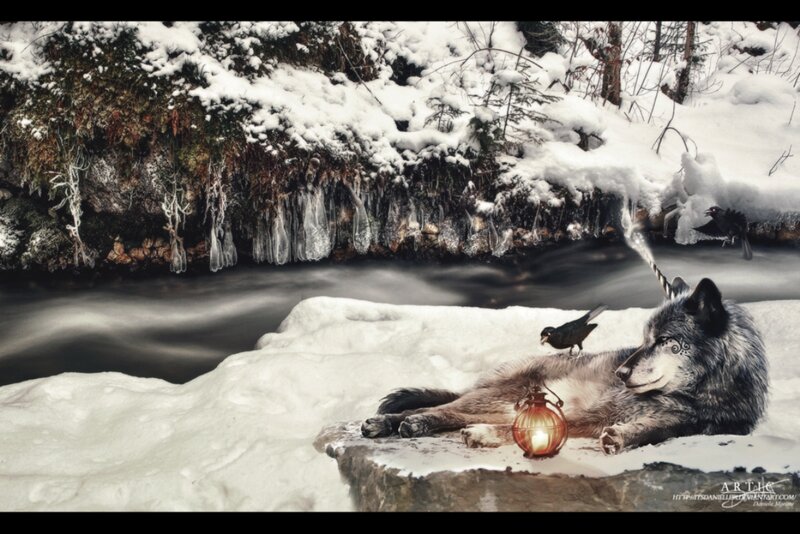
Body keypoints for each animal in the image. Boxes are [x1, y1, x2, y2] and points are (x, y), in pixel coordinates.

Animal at [362, 278, 768, 454]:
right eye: (643, 339)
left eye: (663, 341)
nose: (620, 374)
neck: (697, 394)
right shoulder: (594, 412)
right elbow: (552, 427)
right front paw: (489, 435)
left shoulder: (699, 426)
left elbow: (656, 431)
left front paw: (622, 437)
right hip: (500, 396)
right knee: (440, 408)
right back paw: (392, 423)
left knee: (448, 414)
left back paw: (412, 425)